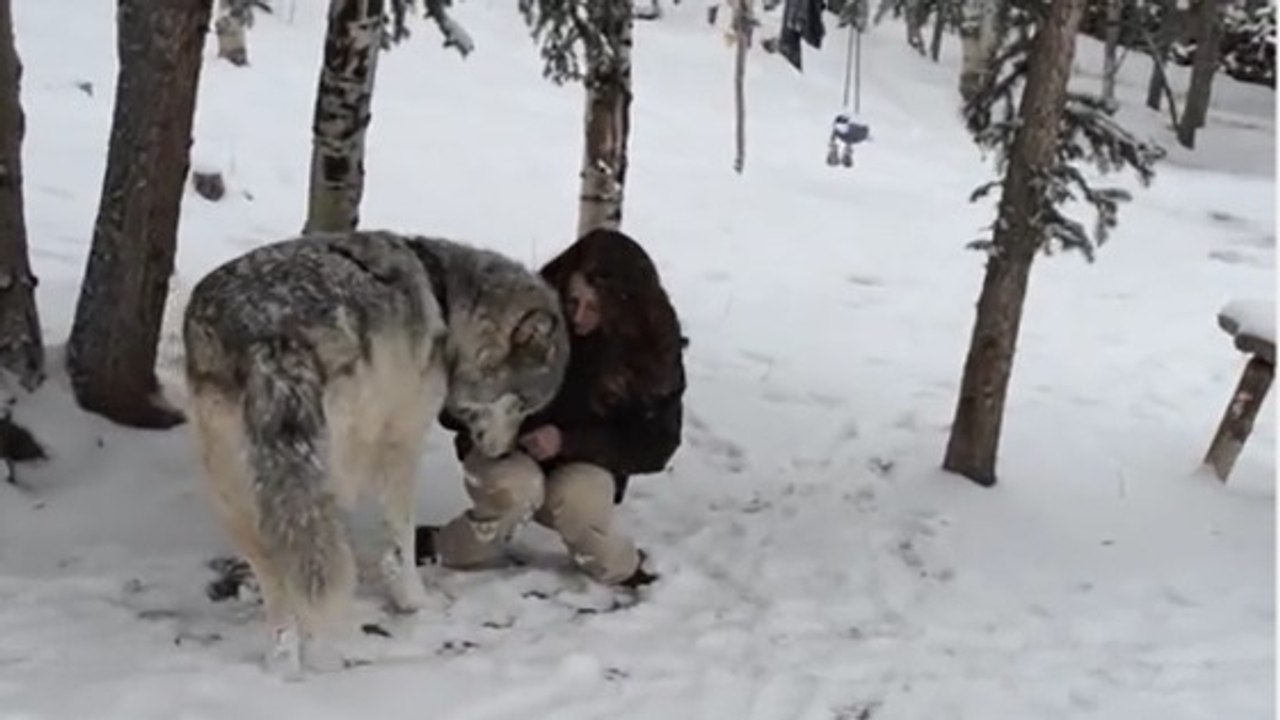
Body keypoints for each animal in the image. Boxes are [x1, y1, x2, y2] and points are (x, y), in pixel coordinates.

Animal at [181, 230, 569, 677]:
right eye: (523, 406)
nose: (504, 452)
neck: (448, 302)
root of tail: (264, 328)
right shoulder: (401, 441)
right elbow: (399, 541)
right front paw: (416, 602)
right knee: (317, 565)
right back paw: (328, 654)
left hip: (235, 493)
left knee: (283, 576)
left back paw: (283, 662)